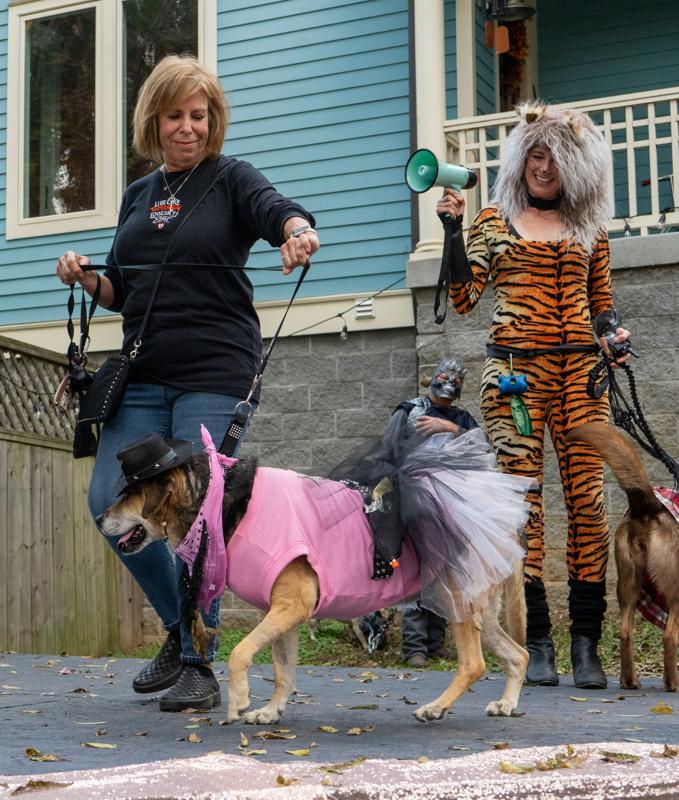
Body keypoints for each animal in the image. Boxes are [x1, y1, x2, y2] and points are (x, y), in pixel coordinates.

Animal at [100, 445, 528, 725]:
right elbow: (283, 670)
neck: (219, 499)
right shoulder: (282, 613)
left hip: (456, 599)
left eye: (129, 495)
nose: (100, 520)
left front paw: (239, 701)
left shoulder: (292, 606)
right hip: (481, 611)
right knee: (518, 654)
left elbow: (239, 653)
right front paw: (271, 711)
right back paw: (506, 704)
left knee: (473, 664)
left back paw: (436, 707)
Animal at [567, 422, 679, 691]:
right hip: (672, 589)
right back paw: (672, 683)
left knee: (625, 631)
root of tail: (649, 506)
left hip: (628, 582)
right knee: (669, 635)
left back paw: (629, 681)